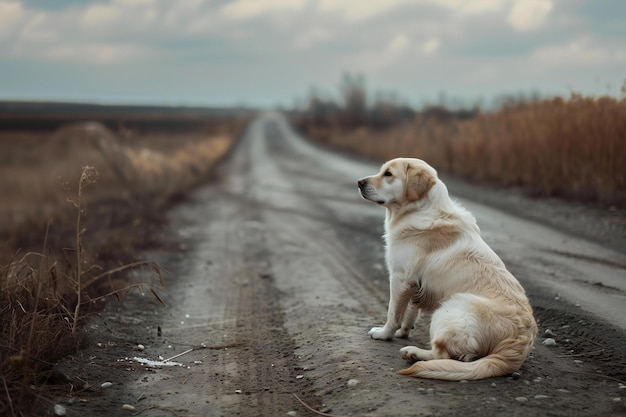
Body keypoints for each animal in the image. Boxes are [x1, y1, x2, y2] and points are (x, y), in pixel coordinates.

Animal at [358, 158, 532, 378]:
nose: (359, 183)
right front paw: (403, 332)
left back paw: (412, 353)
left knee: (441, 353)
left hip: (448, 309)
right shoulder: (415, 283)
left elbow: (393, 313)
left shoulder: (400, 278)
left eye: (388, 174)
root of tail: (519, 344)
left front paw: (384, 333)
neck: (419, 209)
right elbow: (411, 312)